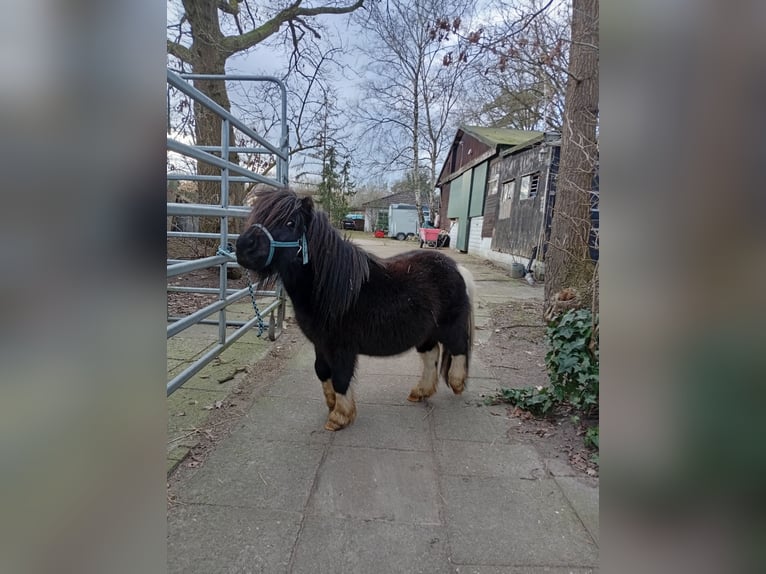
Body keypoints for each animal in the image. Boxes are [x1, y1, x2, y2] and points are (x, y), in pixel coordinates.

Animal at [237, 189, 474, 432]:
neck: (332, 288)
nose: (242, 247)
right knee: (431, 354)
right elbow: (322, 371)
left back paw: (456, 384)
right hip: (425, 333)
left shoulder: (342, 347)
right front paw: (332, 404)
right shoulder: (320, 343)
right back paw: (421, 391)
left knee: (458, 349)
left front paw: (340, 417)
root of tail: (458, 268)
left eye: (290, 222)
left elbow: (341, 378)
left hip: (450, 327)